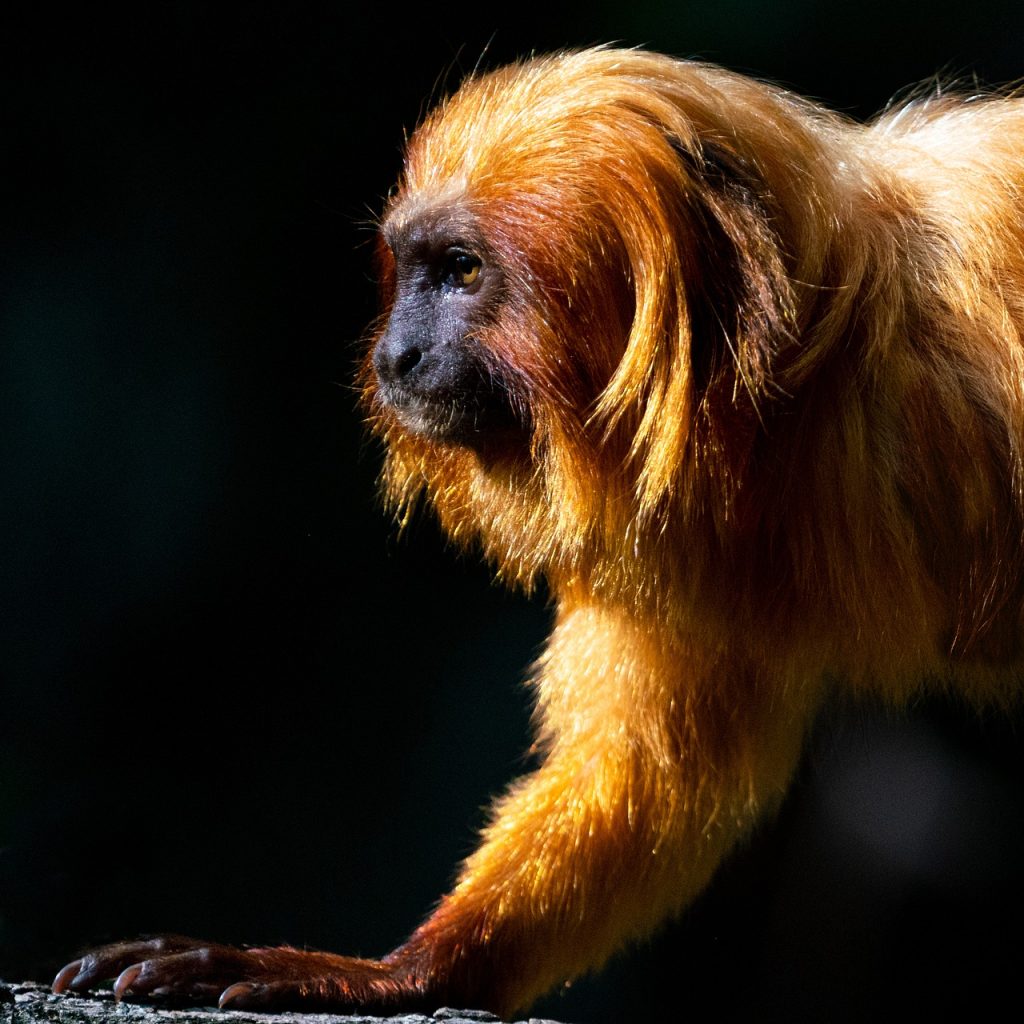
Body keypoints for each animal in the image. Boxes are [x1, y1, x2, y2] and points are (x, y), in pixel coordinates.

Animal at [51, 46, 1024, 1015]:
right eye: (411, 270)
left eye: (462, 272)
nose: (395, 356)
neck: (806, 383)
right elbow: (649, 775)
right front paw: (397, 973)